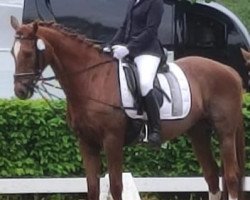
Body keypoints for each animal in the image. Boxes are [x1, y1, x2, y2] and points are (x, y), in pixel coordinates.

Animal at [10, 16, 245, 200]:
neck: (91, 79)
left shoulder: (112, 141)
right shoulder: (86, 142)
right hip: (198, 132)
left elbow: (116, 187)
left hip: (225, 133)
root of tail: (230, 71)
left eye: (28, 53)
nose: (20, 90)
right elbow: (93, 188)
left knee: (231, 177)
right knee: (212, 177)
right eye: (13, 53)